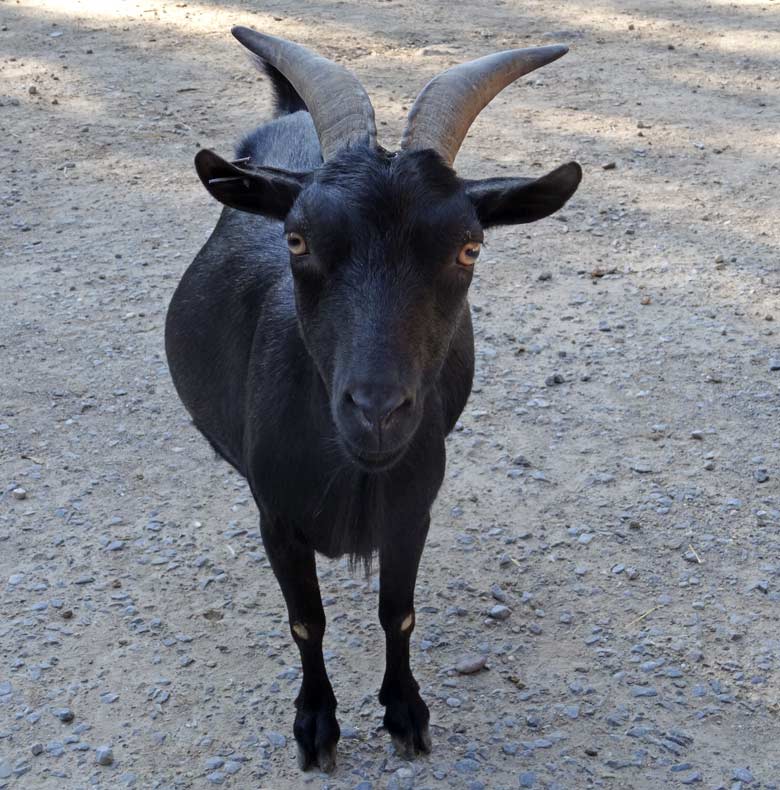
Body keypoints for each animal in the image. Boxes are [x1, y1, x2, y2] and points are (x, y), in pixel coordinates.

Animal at [165, 29, 580, 772]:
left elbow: (399, 613)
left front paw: (406, 712)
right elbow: (307, 621)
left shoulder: (413, 509)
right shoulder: (276, 518)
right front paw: (315, 726)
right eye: (296, 238)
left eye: (470, 248)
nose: (378, 411)